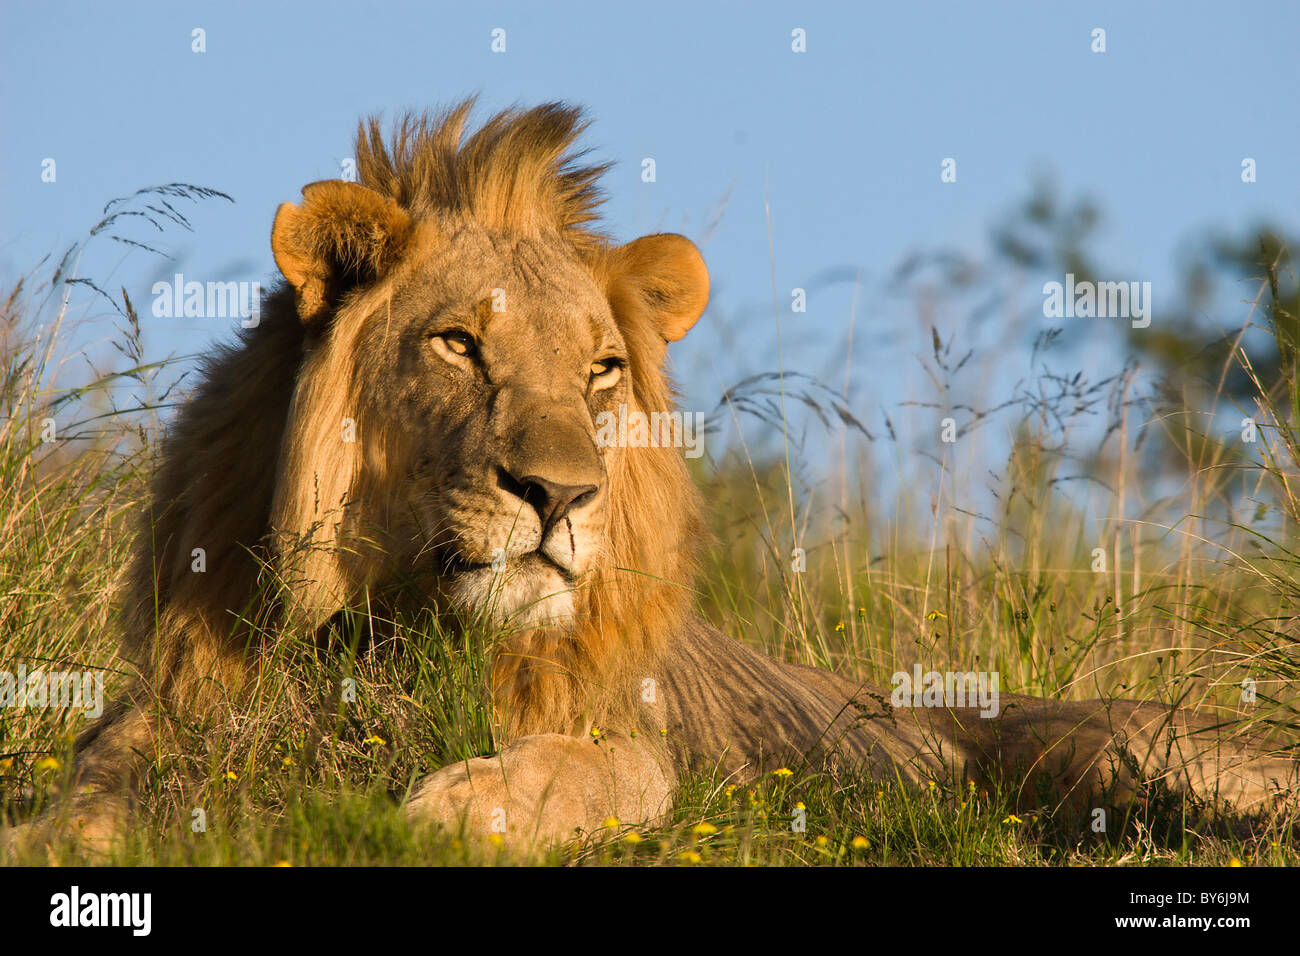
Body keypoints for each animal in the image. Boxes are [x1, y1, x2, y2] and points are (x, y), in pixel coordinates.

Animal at [7, 100, 1294, 854]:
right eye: (458, 344)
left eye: (601, 370)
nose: (560, 497)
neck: (394, 627)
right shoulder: (178, 701)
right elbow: (98, 774)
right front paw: (61, 832)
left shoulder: (639, 740)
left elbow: (602, 765)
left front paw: (464, 805)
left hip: (1121, 751)